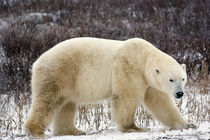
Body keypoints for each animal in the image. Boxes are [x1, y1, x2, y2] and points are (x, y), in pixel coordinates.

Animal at [24, 37, 195, 138]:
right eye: (171, 79)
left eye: (183, 78)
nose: (179, 93)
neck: (143, 56)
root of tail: (37, 61)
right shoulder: (128, 67)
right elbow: (127, 97)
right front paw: (134, 127)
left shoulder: (149, 81)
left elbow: (162, 103)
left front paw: (188, 124)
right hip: (59, 72)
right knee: (48, 101)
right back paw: (37, 132)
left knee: (66, 105)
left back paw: (73, 131)